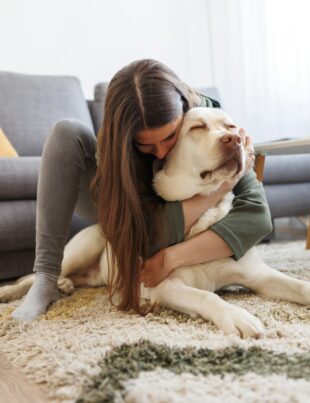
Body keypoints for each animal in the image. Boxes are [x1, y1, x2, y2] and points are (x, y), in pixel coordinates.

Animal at [1, 105, 308, 340]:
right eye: (197, 128)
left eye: (230, 126)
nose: (233, 139)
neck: (201, 215)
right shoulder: (163, 286)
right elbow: (207, 297)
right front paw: (237, 316)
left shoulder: (259, 275)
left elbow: (298, 286)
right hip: (83, 247)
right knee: (36, 274)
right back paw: (13, 293)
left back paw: (65, 285)